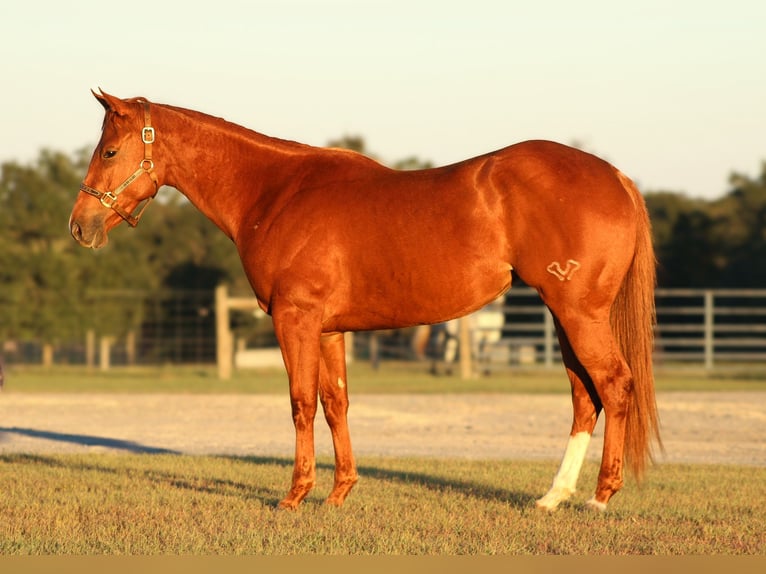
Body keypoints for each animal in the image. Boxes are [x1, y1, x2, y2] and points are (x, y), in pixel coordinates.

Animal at [69, 92, 664, 516]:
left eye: (110, 151)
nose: (80, 225)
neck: (276, 192)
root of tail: (615, 176)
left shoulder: (296, 320)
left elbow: (301, 403)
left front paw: (295, 496)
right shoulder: (329, 330)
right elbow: (336, 403)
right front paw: (338, 494)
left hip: (578, 313)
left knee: (614, 384)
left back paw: (599, 497)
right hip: (565, 317)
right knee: (585, 396)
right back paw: (553, 497)